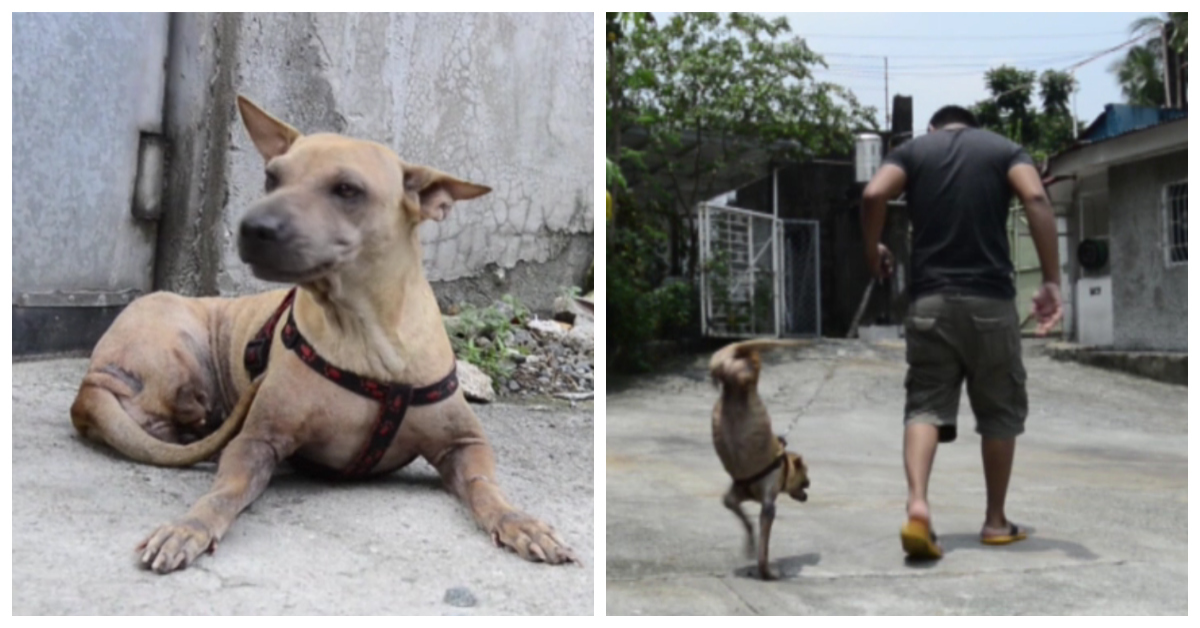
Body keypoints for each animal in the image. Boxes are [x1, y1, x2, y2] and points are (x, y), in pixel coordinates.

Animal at [69, 94, 576, 573]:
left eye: (347, 189)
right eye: (272, 177)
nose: (252, 227)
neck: (367, 336)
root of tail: (88, 387)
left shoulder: (465, 444)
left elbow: (487, 488)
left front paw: (521, 522)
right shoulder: (255, 442)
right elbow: (224, 491)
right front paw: (189, 526)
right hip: (171, 330)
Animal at [705, 338, 811, 581]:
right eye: (806, 478)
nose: (807, 493)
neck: (783, 465)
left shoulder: (735, 497)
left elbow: (739, 514)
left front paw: (750, 542)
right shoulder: (768, 505)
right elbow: (765, 546)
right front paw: (767, 571)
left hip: (729, 371)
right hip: (744, 374)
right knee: (751, 360)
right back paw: (754, 352)